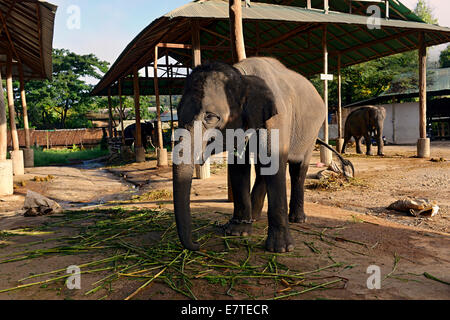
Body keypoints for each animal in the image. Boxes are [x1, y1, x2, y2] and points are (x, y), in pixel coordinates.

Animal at [172, 57, 352, 252]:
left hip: (312, 132)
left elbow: (273, 163)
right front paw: (237, 232)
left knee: (298, 169)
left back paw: (297, 219)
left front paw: (281, 249)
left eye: (210, 117)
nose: (197, 244)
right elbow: (239, 168)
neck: (243, 76)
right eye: (178, 114)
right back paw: (255, 216)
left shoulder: (278, 118)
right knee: (262, 169)